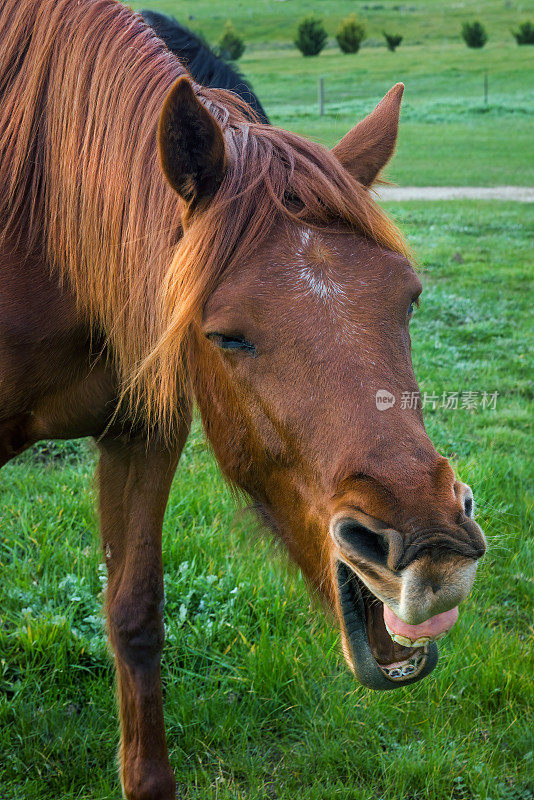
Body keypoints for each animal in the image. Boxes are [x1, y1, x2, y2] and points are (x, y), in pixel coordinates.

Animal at [0, 1, 488, 800]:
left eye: (410, 298)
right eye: (225, 336)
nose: (431, 547)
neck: (44, 237)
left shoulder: (144, 435)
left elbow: (134, 615)